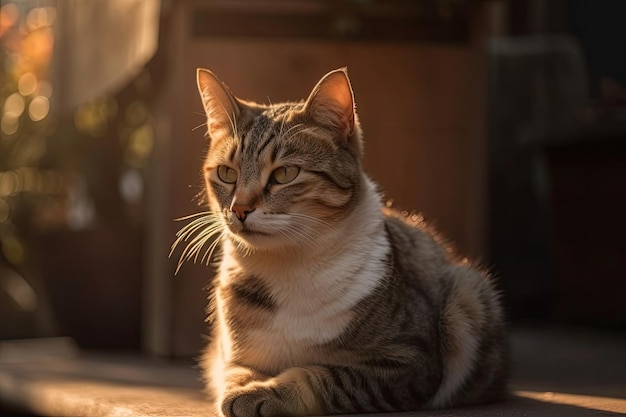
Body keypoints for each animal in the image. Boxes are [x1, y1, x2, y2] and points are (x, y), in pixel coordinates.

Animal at [172, 66, 508, 414]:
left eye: (284, 174)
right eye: (227, 173)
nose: (239, 209)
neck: (291, 265)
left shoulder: (408, 361)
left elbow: (323, 376)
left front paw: (263, 395)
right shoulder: (231, 355)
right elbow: (235, 373)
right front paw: (241, 389)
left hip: (468, 294)